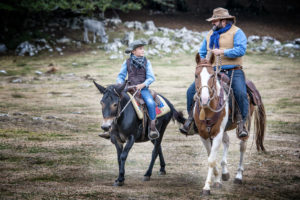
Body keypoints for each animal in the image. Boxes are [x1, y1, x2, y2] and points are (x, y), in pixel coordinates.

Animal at [193, 52, 266, 195]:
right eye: (196, 75)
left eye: (212, 75)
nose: (204, 99)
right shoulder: (204, 135)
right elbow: (211, 156)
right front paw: (217, 180)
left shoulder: (217, 133)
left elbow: (211, 160)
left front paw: (207, 187)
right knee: (226, 142)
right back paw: (225, 173)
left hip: (245, 125)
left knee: (242, 147)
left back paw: (238, 176)